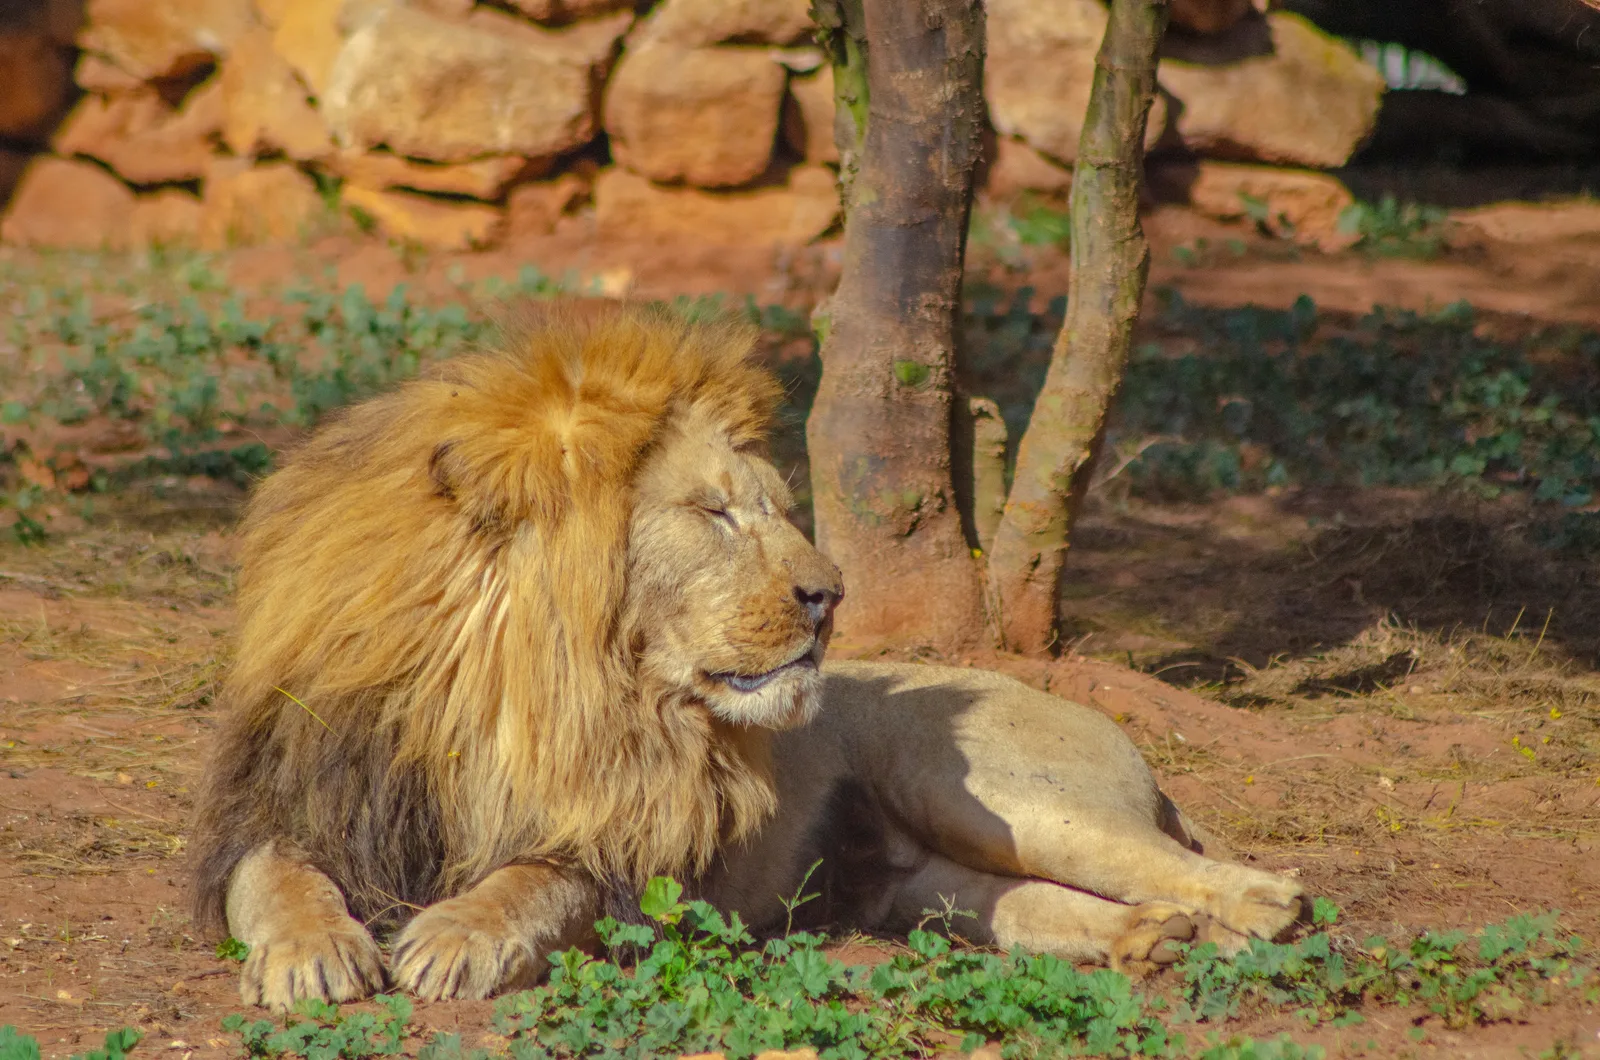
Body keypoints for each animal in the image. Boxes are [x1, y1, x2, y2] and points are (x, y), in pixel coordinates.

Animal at [192, 304, 1306, 1011]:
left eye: (773, 507)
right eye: (715, 513)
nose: (830, 594)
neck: (514, 696)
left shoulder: (633, 862)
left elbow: (536, 879)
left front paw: (457, 935)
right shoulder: (289, 802)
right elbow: (272, 876)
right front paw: (312, 953)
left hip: (997, 793)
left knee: (1204, 869)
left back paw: (1263, 911)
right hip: (934, 889)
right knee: (1047, 905)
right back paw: (1149, 936)